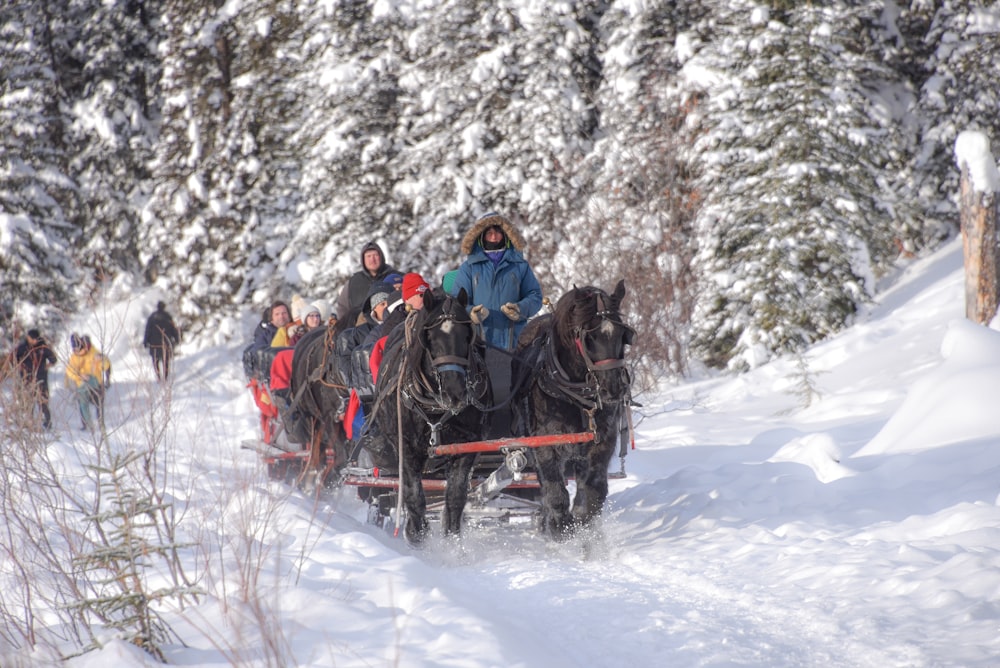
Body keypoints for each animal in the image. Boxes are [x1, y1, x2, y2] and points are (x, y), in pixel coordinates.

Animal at [364, 290, 492, 544]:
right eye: (430, 338)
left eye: (467, 336)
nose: (455, 393)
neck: (435, 407)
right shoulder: (407, 448)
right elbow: (414, 496)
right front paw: (416, 536)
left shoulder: (467, 446)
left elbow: (455, 497)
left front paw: (452, 541)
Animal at [516, 280, 632, 540]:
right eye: (590, 337)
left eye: (623, 334)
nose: (613, 388)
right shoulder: (545, 445)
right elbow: (555, 495)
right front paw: (560, 529)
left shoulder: (602, 442)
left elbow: (593, 494)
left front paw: (584, 529)